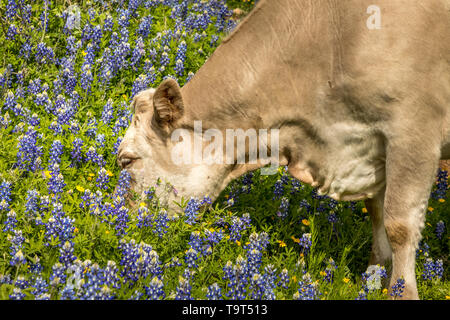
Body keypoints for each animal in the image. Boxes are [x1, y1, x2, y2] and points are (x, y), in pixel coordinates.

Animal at [118, 0, 450, 300]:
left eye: (127, 160)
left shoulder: (413, 131)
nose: (129, 229)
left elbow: (399, 225)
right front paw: (374, 279)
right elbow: (377, 213)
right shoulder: (371, 146)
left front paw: (401, 291)